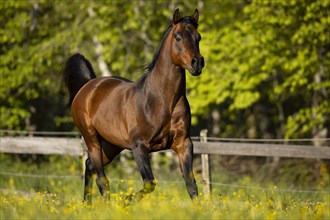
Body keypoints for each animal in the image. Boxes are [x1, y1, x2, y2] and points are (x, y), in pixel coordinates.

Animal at [62, 8, 204, 205]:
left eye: (198, 37)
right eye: (178, 37)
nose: (197, 63)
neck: (160, 101)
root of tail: (88, 86)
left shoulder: (184, 144)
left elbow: (191, 185)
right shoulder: (139, 147)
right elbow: (149, 183)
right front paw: (126, 201)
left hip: (112, 145)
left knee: (89, 166)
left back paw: (88, 205)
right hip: (92, 139)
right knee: (101, 178)